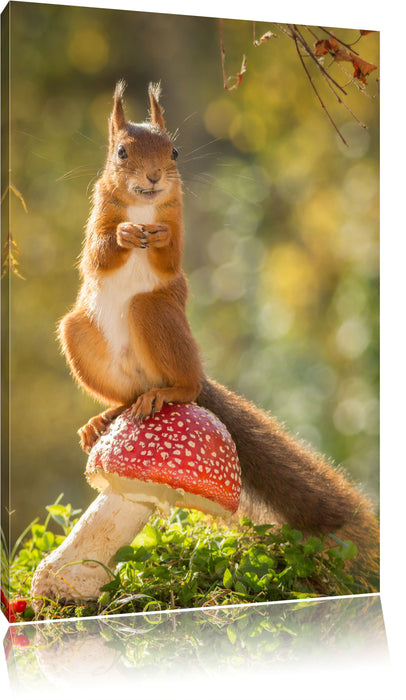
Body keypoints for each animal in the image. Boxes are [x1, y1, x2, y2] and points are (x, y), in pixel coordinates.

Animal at [58, 80, 380, 584]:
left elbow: (170, 255)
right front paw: (126, 236)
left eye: (173, 151)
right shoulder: (98, 217)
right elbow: (99, 252)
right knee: (126, 397)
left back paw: (169, 393)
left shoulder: (177, 218)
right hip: (79, 333)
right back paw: (105, 418)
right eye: (121, 152)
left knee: (182, 384)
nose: (154, 177)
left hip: (157, 314)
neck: (144, 208)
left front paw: (157, 240)